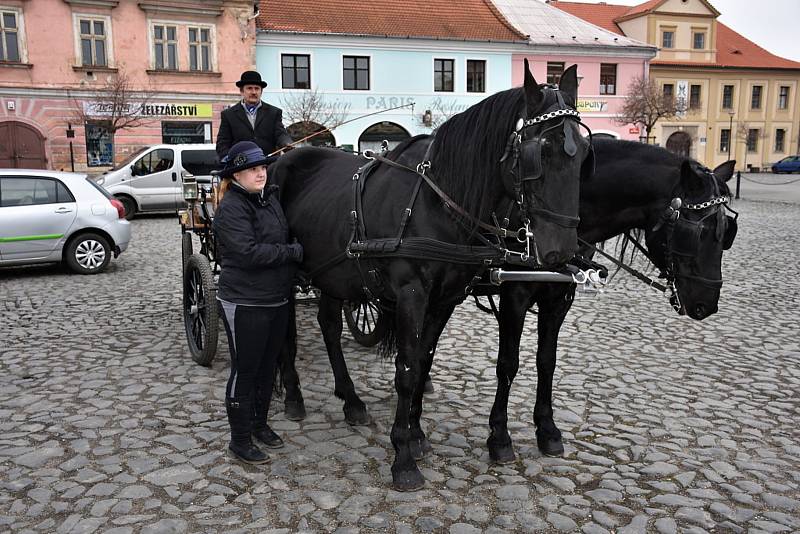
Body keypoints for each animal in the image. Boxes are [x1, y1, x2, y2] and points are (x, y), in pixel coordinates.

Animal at [272, 60, 592, 492]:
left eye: (585, 153)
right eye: (538, 152)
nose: (560, 251)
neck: (437, 203)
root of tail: (281, 160)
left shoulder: (445, 299)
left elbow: (424, 360)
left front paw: (416, 434)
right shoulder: (412, 295)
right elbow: (407, 370)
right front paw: (403, 459)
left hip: (334, 275)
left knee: (328, 326)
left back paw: (351, 401)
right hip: (284, 271)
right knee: (284, 329)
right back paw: (292, 395)